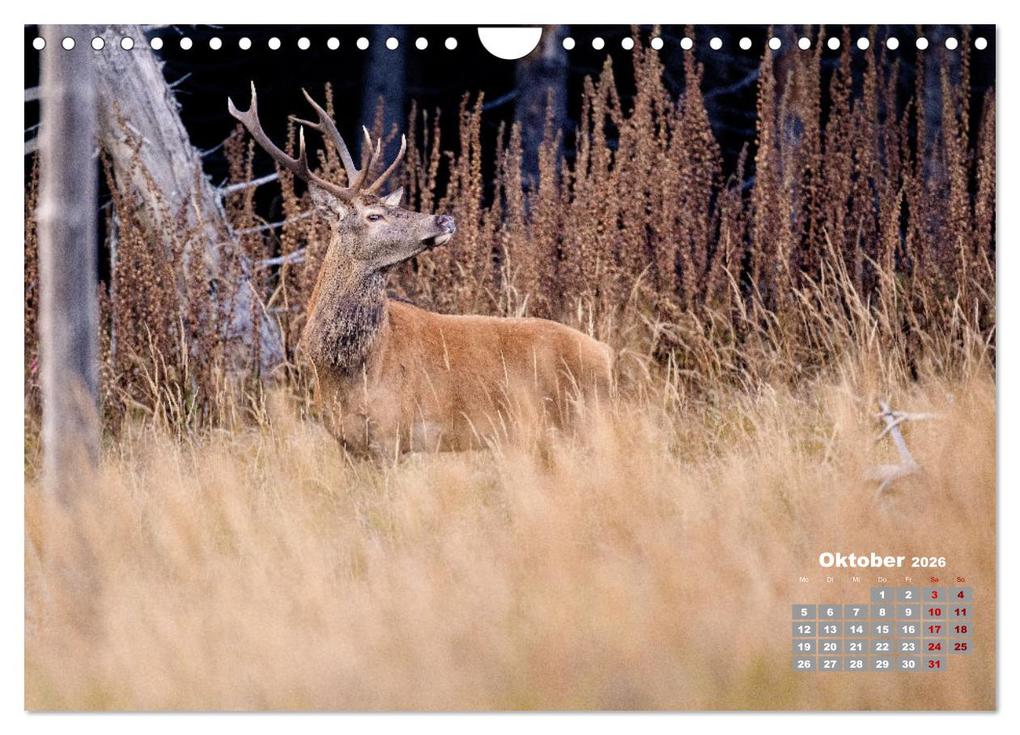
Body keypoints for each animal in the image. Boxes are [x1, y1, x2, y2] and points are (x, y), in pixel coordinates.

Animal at [228, 84, 614, 455]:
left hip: (582, 423)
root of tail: (608, 356)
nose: (444, 219)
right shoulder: (346, 442)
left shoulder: (393, 433)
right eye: (374, 216)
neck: (350, 371)